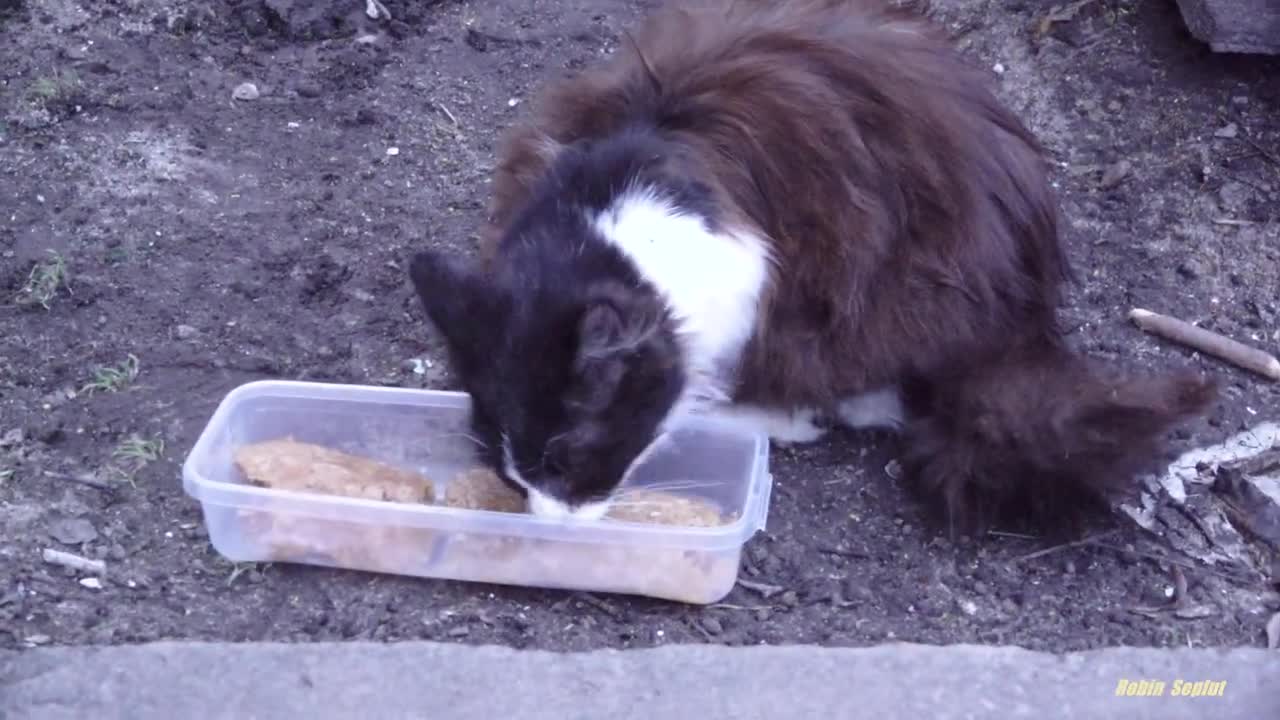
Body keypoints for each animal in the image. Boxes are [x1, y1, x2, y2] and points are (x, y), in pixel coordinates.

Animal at [404, 0, 1213, 532]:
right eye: (503, 463)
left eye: (568, 459)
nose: (548, 519)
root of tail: (1025, 324)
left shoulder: (746, 275)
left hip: (888, 301)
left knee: (864, 397)